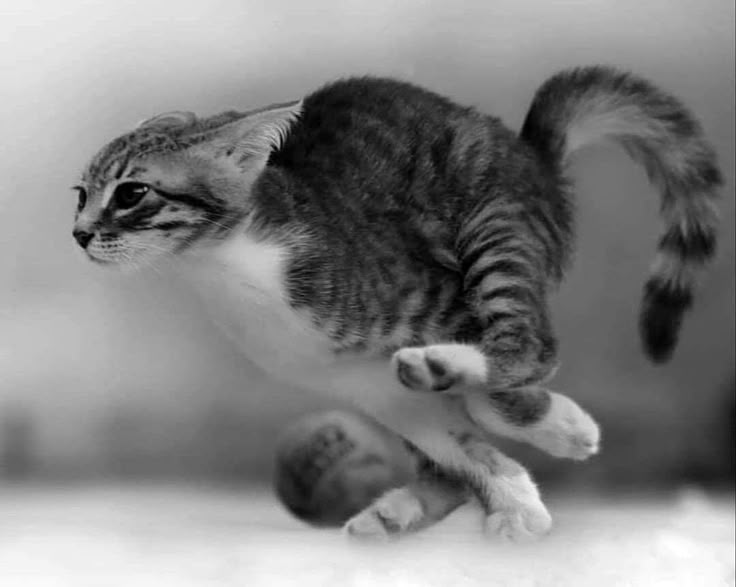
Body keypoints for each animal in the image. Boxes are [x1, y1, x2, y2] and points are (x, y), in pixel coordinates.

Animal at [73, 66, 720, 540]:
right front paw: (517, 497)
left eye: (131, 193)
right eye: (80, 194)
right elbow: (458, 442)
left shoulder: (439, 301)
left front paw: (562, 427)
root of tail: (533, 156)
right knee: (448, 456)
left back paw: (451, 374)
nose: (78, 233)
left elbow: (497, 394)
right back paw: (402, 508)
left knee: (530, 342)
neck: (226, 266)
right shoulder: (370, 388)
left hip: (492, 225)